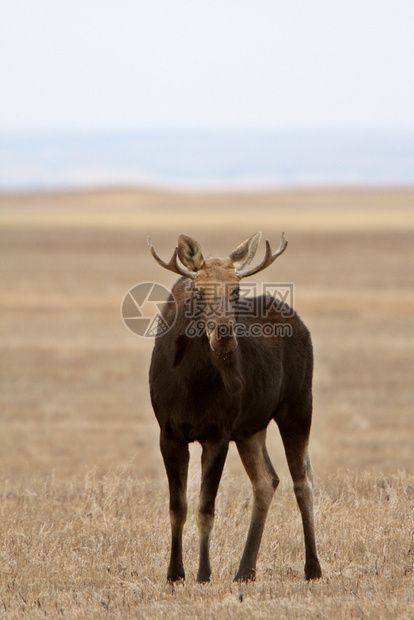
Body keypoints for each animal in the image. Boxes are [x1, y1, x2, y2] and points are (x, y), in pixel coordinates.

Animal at [147, 230, 322, 584]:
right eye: (198, 290)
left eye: (237, 289)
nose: (224, 334)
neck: (192, 382)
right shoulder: (169, 434)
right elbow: (177, 507)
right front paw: (174, 573)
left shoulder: (218, 434)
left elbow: (205, 508)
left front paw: (203, 573)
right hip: (251, 428)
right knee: (267, 481)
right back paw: (245, 570)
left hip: (297, 407)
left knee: (302, 480)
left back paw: (312, 567)